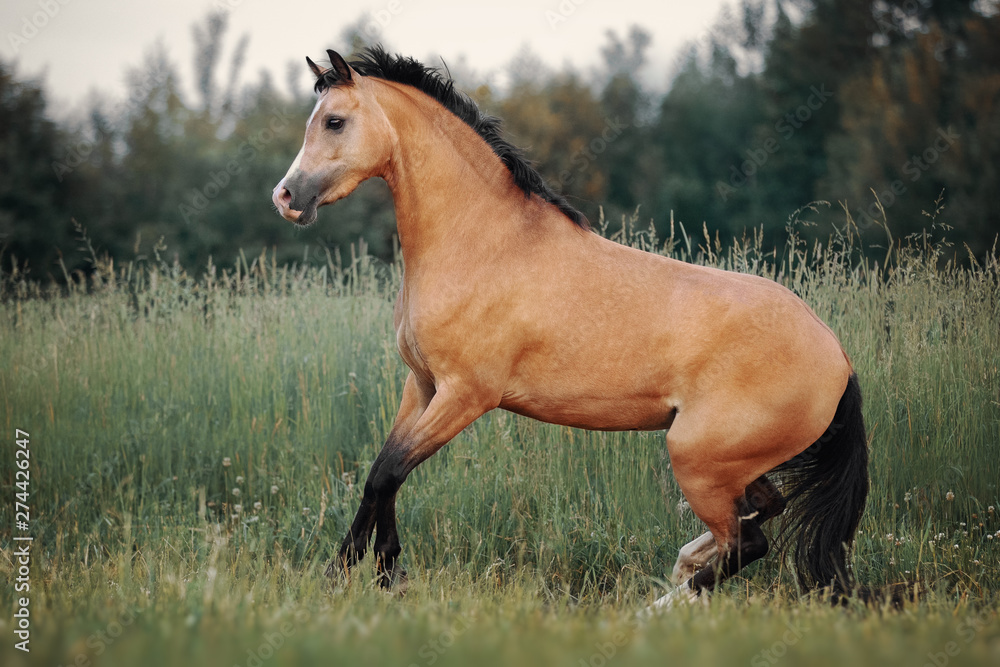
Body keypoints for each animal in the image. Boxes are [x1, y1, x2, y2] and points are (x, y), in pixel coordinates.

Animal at [271, 46, 869, 609]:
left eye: (334, 121)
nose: (286, 198)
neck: (482, 244)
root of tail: (837, 356)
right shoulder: (421, 385)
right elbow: (382, 474)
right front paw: (371, 571)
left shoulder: (466, 396)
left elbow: (388, 474)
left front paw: (358, 575)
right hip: (733, 464)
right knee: (760, 515)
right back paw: (682, 567)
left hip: (698, 460)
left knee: (746, 544)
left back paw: (654, 608)